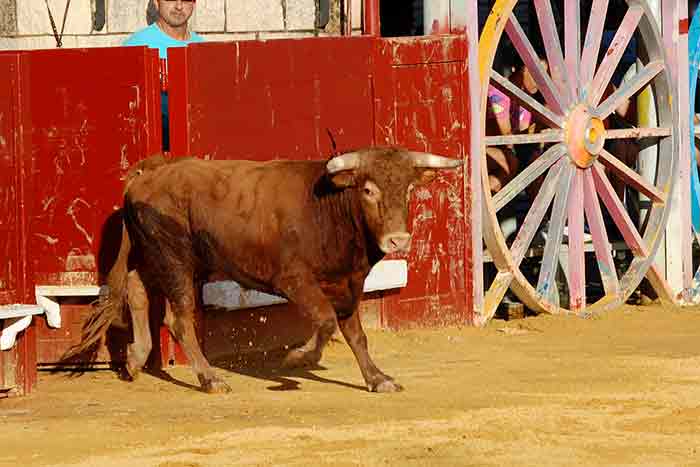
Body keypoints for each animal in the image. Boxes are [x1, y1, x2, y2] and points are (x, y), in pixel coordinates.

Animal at [64, 145, 460, 392]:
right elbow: (326, 322)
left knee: (136, 290)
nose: (398, 240)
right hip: (176, 258)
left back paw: (135, 359)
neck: (328, 209)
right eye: (368, 190)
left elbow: (355, 334)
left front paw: (378, 379)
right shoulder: (294, 279)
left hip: (154, 253)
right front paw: (298, 358)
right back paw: (210, 379)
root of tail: (150, 172)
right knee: (178, 318)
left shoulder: (350, 283)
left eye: (408, 188)